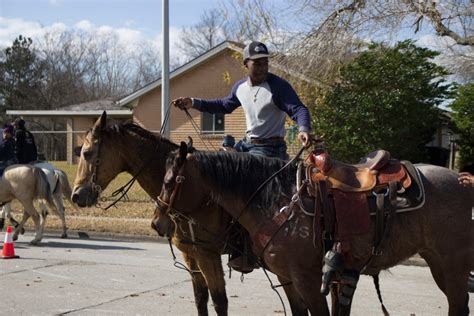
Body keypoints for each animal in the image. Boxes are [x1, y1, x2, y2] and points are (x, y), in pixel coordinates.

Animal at [71, 112, 233, 314]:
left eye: (87, 153)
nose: (76, 195)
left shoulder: (208, 254)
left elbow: (220, 302)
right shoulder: (191, 254)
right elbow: (201, 298)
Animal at [156, 143, 470, 316]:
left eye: (170, 181)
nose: (158, 222)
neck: (277, 200)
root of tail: (464, 180)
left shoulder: (307, 278)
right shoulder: (287, 277)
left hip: (452, 266)